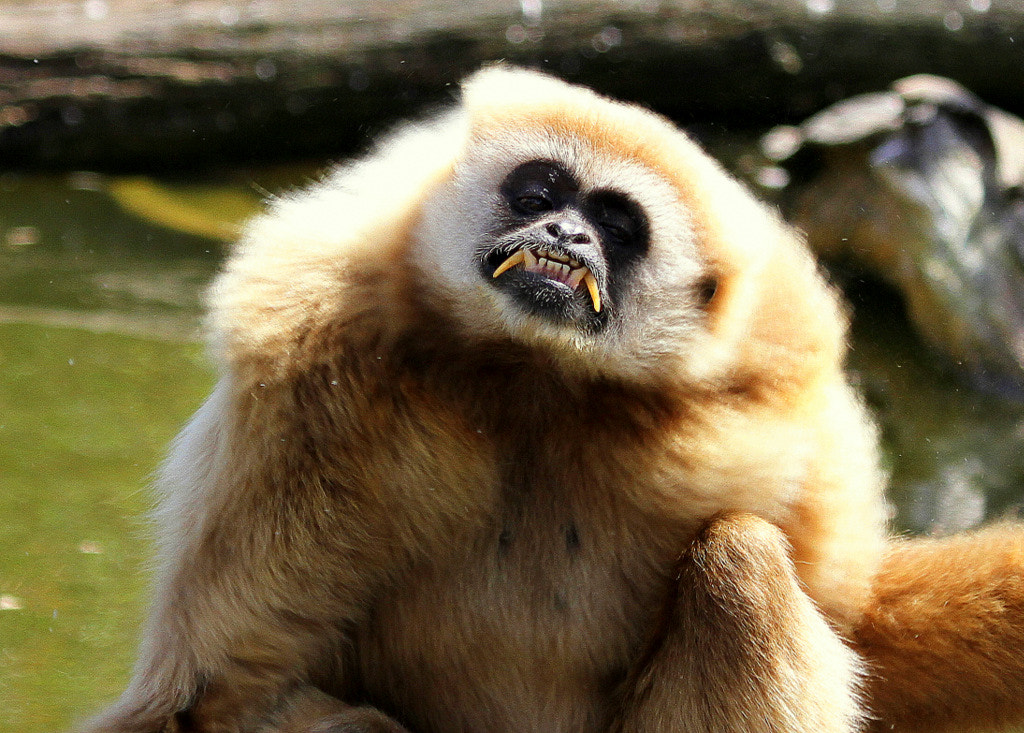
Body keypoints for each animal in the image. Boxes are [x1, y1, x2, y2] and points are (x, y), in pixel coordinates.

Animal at [79, 67, 1024, 733]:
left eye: (617, 224)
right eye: (539, 191)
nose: (567, 232)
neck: (531, 381)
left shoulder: (786, 387)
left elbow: (851, 607)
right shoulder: (303, 375)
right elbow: (216, 693)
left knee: (742, 562)